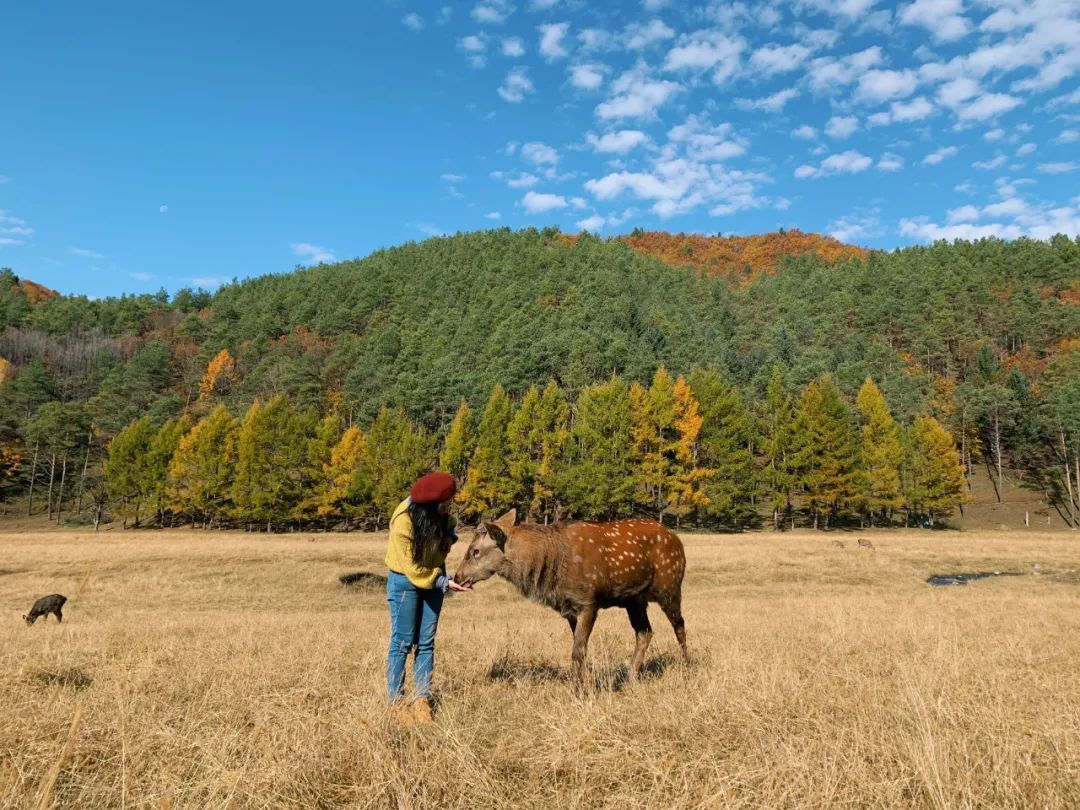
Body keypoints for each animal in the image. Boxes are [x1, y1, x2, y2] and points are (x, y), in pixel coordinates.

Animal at [451, 509, 686, 686]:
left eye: (475, 551)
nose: (457, 577)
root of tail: (676, 539)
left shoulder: (588, 601)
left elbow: (578, 651)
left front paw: (582, 691)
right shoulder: (570, 608)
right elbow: (577, 649)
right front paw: (580, 685)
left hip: (670, 585)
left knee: (679, 625)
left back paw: (686, 666)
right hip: (634, 599)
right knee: (644, 632)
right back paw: (630, 678)